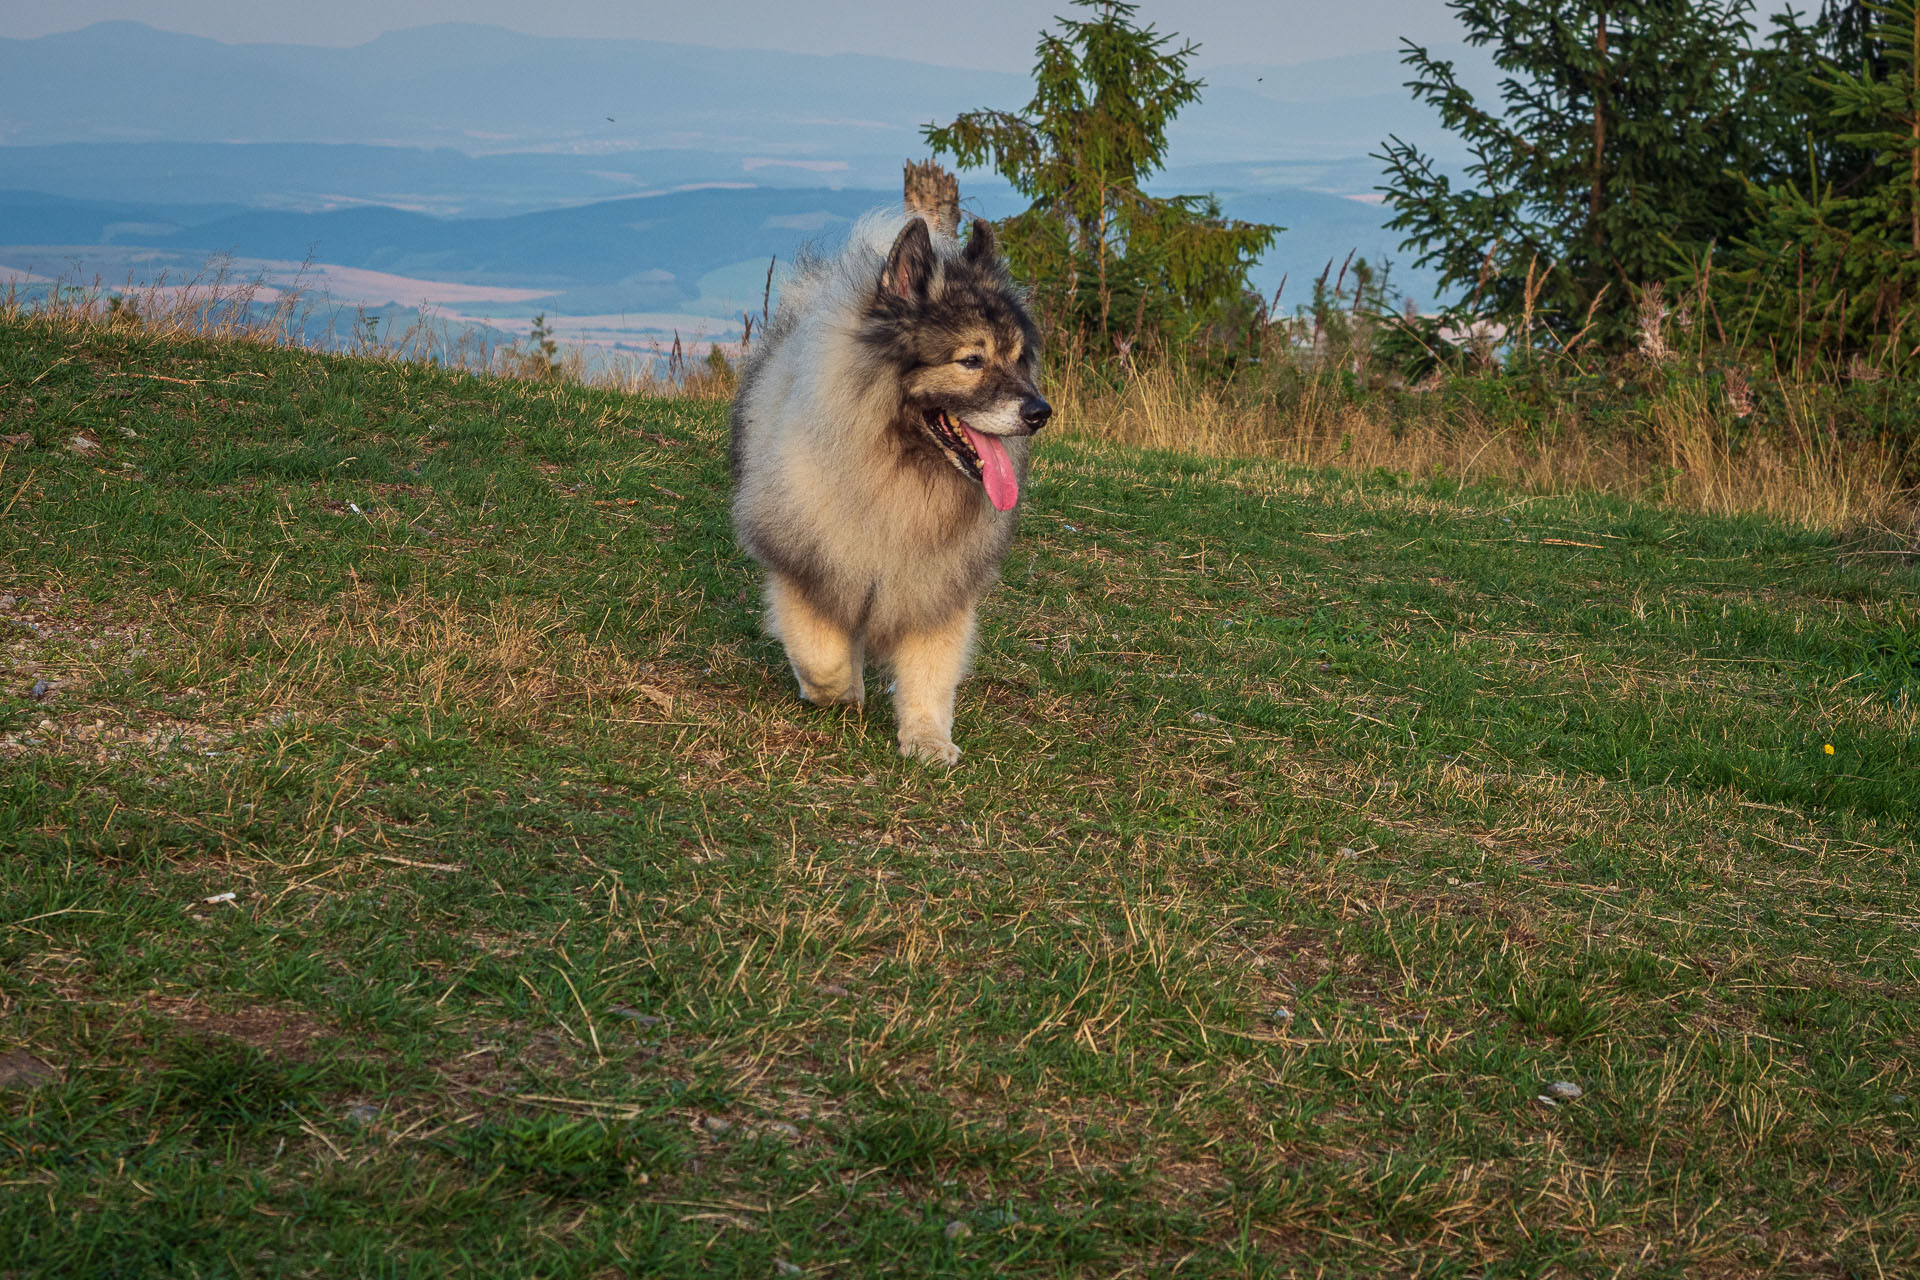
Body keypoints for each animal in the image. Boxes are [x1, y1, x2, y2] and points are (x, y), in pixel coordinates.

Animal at [725, 211, 1052, 767]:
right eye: (971, 360)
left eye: (1017, 357)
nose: (1040, 412)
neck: (899, 473)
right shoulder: (807, 563)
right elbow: (822, 654)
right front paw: (841, 692)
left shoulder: (936, 583)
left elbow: (931, 671)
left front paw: (926, 738)